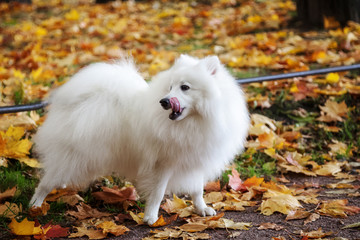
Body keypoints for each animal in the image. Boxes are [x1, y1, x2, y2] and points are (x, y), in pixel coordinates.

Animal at [31, 54, 249, 225]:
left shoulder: (194, 161)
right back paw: (35, 205)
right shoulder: (163, 163)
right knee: (46, 182)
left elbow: (197, 191)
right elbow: (158, 193)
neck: (193, 123)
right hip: (71, 155)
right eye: (170, 87)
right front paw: (150, 217)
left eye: (185, 87)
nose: (164, 101)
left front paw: (201, 208)